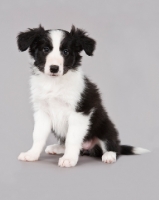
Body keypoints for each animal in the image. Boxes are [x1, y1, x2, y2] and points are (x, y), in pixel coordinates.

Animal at [16, 25, 150, 167]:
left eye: (66, 52)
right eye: (45, 50)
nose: (54, 68)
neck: (55, 83)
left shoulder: (80, 112)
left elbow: (72, 138)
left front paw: (68, 158)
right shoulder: (42, 111)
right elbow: (38, 135)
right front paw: (32, 154)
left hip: (105, 127)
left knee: (113, 146)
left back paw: (109, 155)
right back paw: (57, 148)